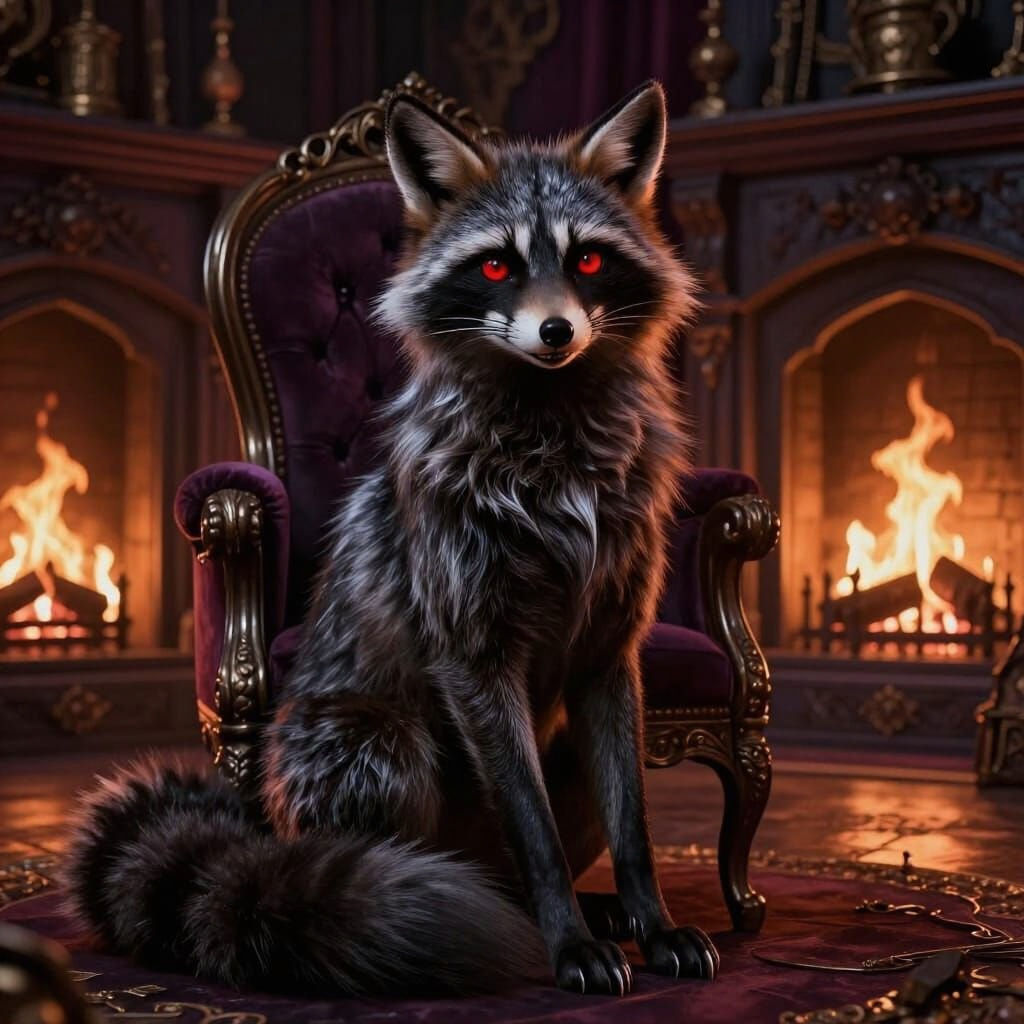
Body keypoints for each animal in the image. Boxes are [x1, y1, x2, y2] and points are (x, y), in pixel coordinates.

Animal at [65, 80, 719, 998]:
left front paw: (651, 921)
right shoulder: (475, 651)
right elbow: (537, 836)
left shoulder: (609, 653)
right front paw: (565, 941)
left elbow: (635, 832)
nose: (557, 332)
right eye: (496, 265)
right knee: (453, 865)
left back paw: (595, 912)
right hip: (386, 748)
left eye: (586, 261)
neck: (554, 450)